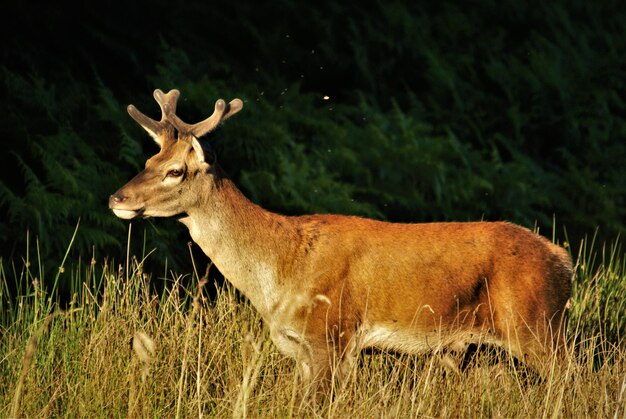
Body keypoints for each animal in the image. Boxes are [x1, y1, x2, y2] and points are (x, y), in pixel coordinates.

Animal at [108, 88, 572, 398]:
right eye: (148, 160)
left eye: (175, 171)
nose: (117, 198)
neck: (279, 268)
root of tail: (563, 260)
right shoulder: (300, 348)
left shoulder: (330, 335)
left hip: (537, 326)